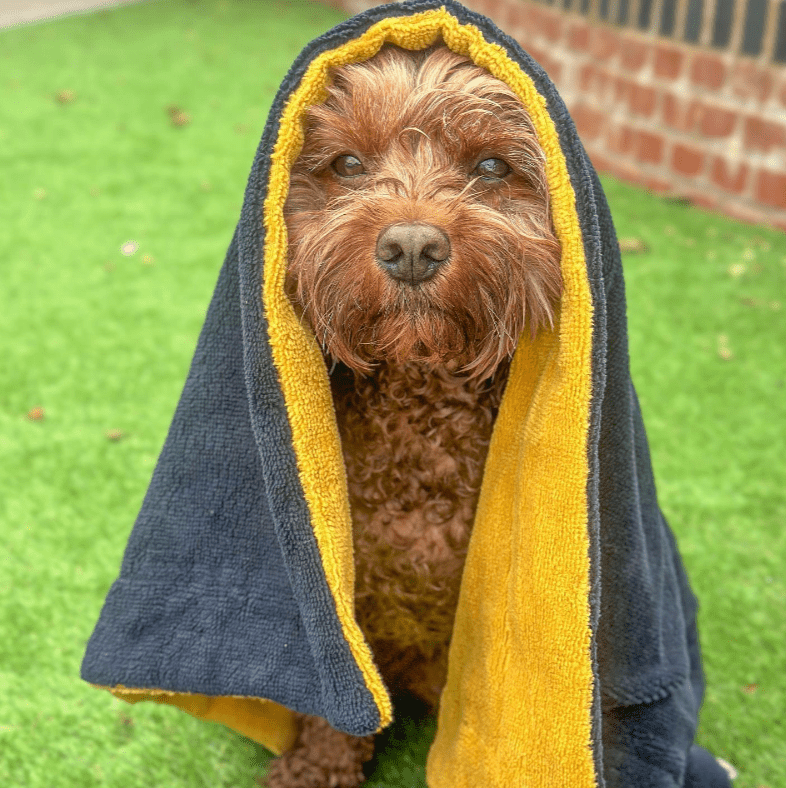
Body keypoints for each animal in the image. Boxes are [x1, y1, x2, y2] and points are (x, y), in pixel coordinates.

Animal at [266, 43, 560, 788]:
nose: (411, 247)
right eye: (347, 165)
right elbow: (339, 704)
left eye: (491, 167)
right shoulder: (339, 603)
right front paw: (317, 767)